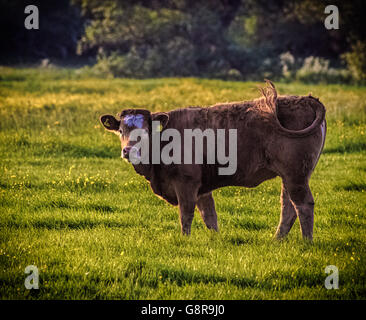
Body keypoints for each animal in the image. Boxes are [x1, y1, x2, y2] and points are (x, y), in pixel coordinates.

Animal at [99, 80, 326, 240]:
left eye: (145, 131)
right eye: (121, 130)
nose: (128, 150)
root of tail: (306, 99)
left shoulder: (187, 184)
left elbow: (186, 215)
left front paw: (184, 240)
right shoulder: (202, 188)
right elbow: (209, 216)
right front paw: (215, 240)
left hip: (295, 175)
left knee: (302, 204)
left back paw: (306, 242)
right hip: (290, 177)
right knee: (288, 206)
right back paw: (277, 239)